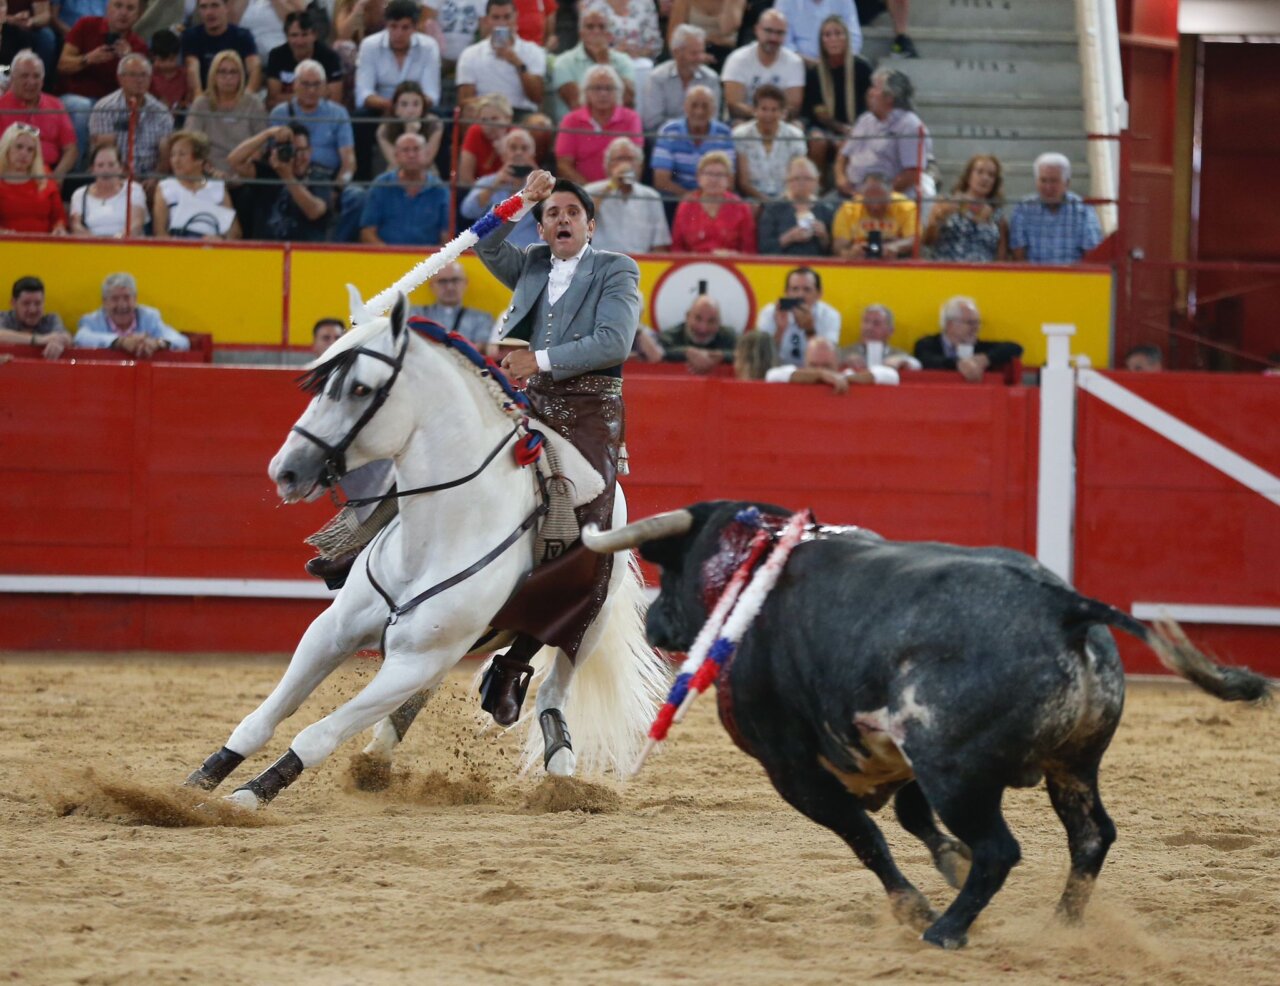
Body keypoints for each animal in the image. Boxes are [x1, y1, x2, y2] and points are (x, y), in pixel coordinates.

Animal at [183, 294, 667, 809]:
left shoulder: (413, 660)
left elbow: (317, 735)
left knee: (553, 689)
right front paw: (195, 784)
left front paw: (248, 795)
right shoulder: (334, 631)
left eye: (359, 388)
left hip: (586, 623)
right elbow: (263, 718)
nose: (286, 470)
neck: (432, 538)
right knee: (423, 698)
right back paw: (377, 758)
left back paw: (559, 769)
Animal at [583, 501, 1273, 949]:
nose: (652, 623)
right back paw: (1064, 925)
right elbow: (911, 819)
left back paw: (945, 931)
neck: (758, 570)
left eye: (672, 568)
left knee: (1002, 848)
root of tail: (1064, 604)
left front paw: (914, 906)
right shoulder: (893, 754)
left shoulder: (792, 770)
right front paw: (949, 864)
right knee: (1091, 836)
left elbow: (865, 836)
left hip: (955, 770)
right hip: (1072, 763)